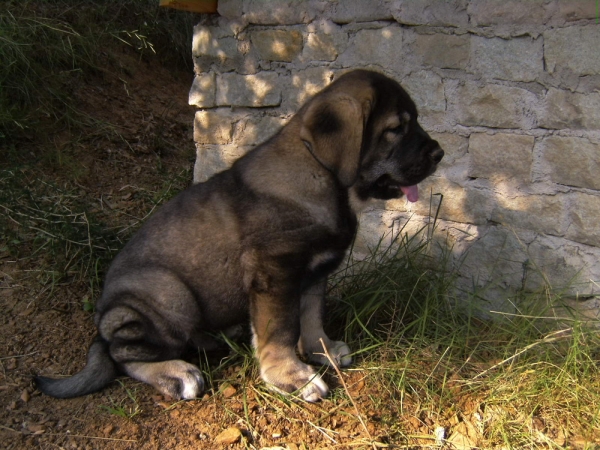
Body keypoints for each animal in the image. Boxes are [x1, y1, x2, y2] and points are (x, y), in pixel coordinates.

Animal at [35, 69, 442, 400]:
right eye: (396, 128)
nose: (439, 153)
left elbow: (312, 315)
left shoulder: (314, 271)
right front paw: (291, 376)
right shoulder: (275, 270)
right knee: (123, 357)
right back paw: (177, 373)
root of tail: (103, 319)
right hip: (169, 294)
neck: (324, 177)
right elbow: (281, 327)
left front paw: (321, 350)